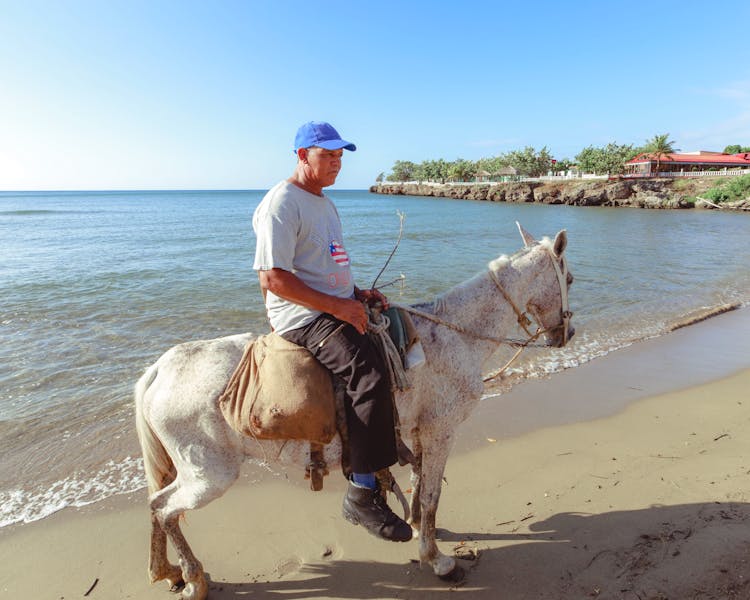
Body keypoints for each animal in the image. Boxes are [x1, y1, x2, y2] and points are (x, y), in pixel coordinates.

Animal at [134, 225, 576, 600]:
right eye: (569, 280)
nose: (566, 334)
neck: (451, 334)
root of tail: (160, 370)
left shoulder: (419, 431)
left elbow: (418, 485)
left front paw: (417, 526)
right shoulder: (441, 431)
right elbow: (432, 494)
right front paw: (438, 560)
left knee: (156, 504)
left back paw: (167, 571)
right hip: (210, 474)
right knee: (165, 509)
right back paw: (193, 578)